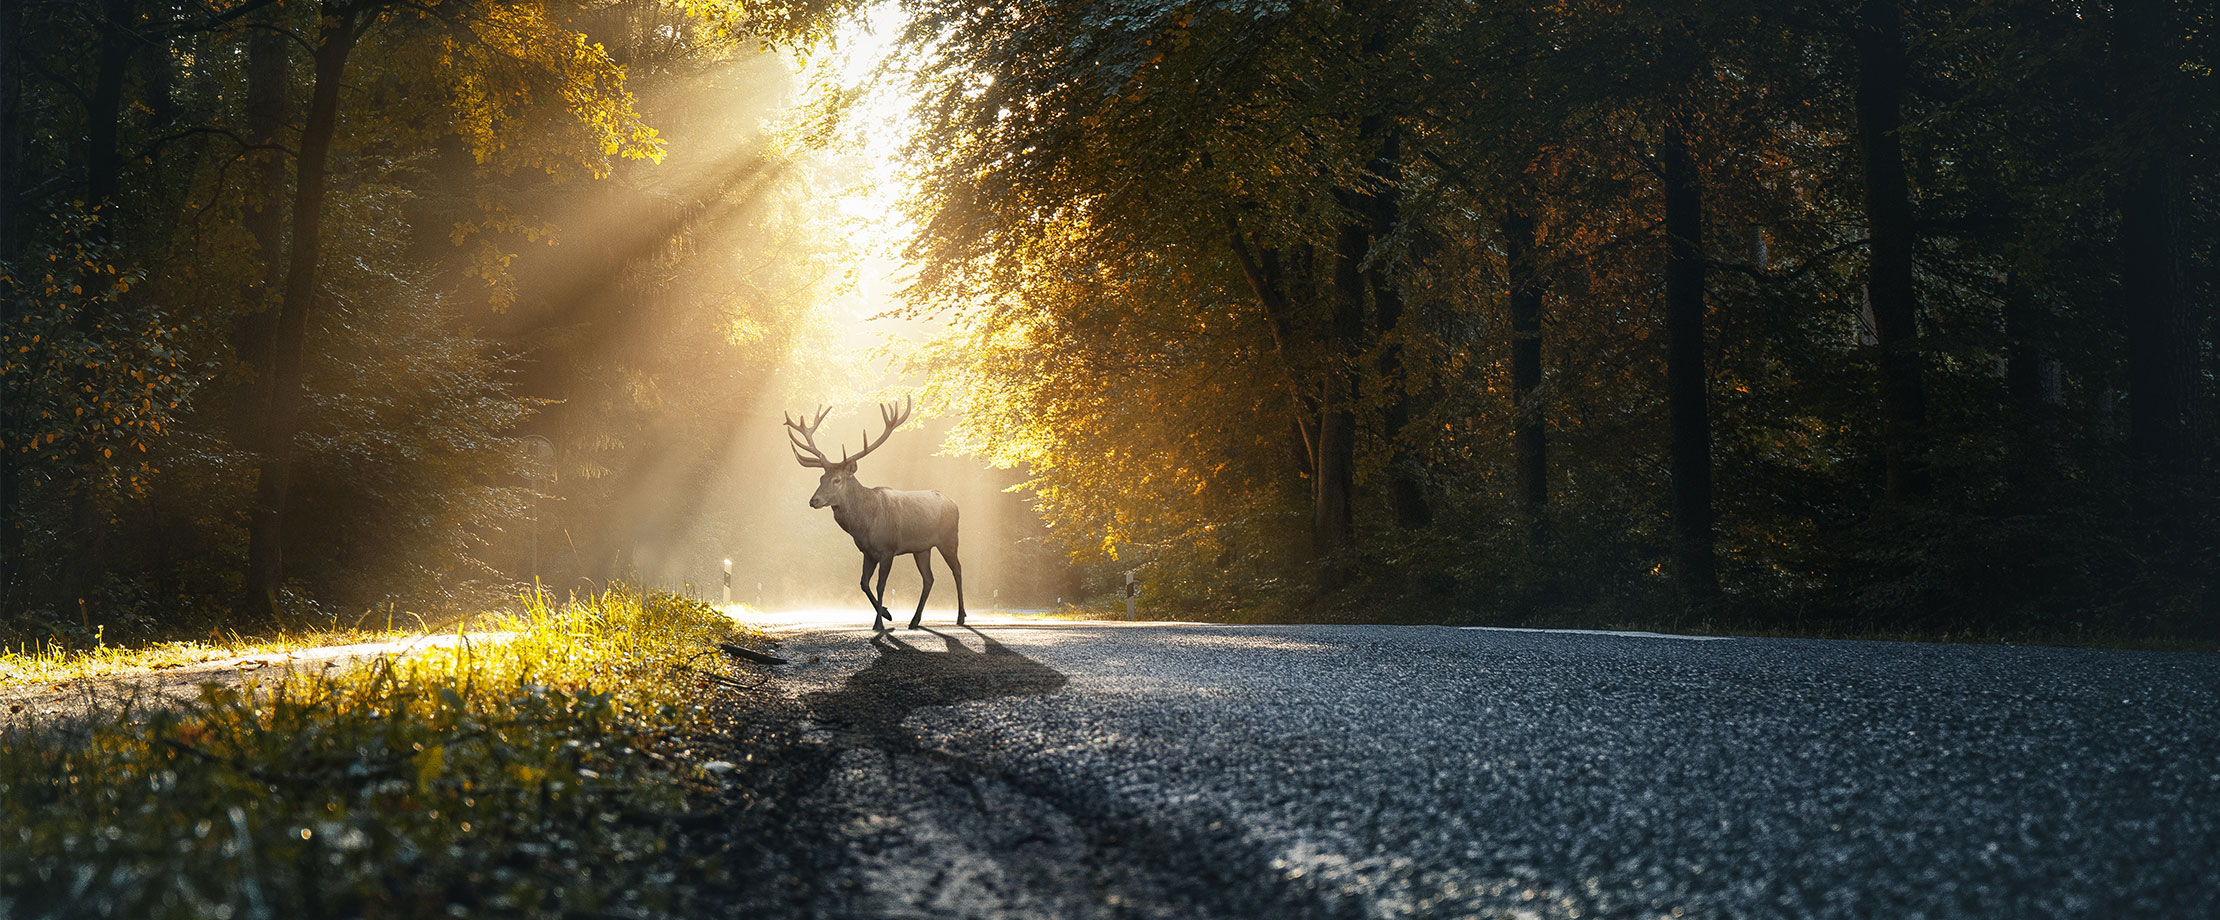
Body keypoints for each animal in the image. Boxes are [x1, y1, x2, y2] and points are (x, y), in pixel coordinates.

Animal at [785, 400, 967, 631]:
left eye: (837, 480)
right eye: (821, 478)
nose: (813, 501)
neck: (864, 525)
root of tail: (954, 503)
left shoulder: (888, 549)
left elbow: (881, 585)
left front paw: (880, 623)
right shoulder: (867, 552)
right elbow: (863, 583)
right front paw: (887, 614)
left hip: (949, 538)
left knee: (957, 570)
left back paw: (961, 616)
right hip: (922, 548)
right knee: (929, 579)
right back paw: (914, 620)